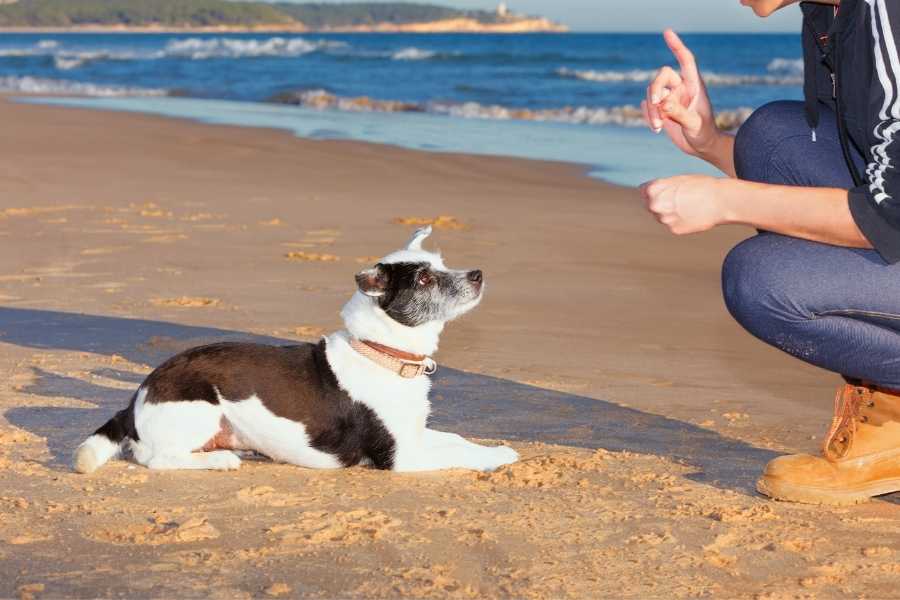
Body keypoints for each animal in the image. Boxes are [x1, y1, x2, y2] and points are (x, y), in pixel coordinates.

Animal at [75, 225, 520, 474]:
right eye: (425, 279)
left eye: (441, 263)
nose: (478, 274)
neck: (381, 353)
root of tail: (138, 396)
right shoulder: (401, 457)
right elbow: (461, 455)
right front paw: (498, 458)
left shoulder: (413, 434)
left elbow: (458, 440)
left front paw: (496, 447)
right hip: (199, 410)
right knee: (157, 459)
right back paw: (219, 461)